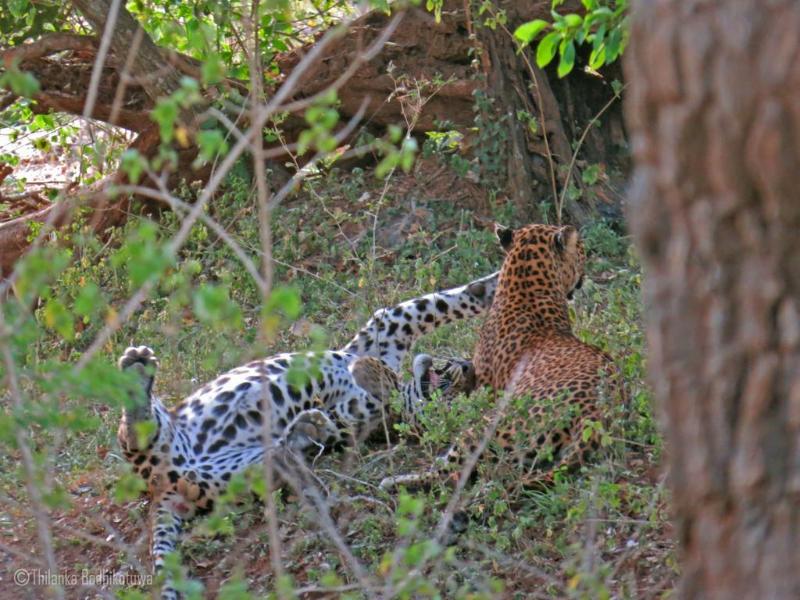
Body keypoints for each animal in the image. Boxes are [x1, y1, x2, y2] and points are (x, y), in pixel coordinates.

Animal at [117, 272, 494, 596]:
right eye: (456, 380)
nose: (466, 368)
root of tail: (159, 489)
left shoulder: (353, 412)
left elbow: (371, 392)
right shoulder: (377, 337)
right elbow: (421, 308)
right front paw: (490, 283)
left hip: (223, 476)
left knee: (142, 439)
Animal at [382, 225, 624, 492]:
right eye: (581, 250)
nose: (586, 266)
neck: (527, 284)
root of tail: (592, 417)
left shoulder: (483, 388)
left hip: (487, 424)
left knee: (450, 475)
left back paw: (394, 481)